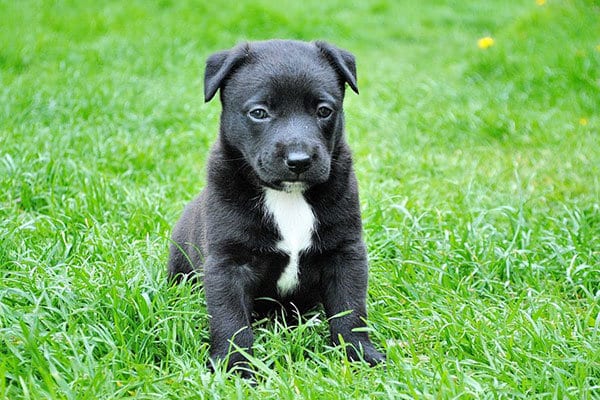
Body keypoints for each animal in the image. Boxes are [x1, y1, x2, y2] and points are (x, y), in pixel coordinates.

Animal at [169, 39, 384, 374]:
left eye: (324, 111)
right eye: (259, 113)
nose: (299, 160)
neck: (288, 196)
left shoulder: (345, 253)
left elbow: (350, 309)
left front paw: (360, 354)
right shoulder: (227, 263)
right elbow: (231, 320)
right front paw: (235, 368)